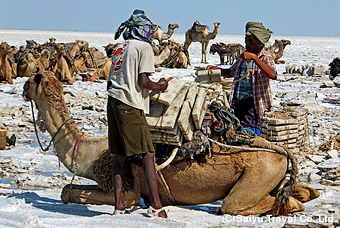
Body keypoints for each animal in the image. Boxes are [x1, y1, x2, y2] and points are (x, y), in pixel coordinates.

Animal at [22, 71, 320, 216]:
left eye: (32, 80)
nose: (24, 89)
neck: (91, 153)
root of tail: (282, 152)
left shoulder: (128, 189)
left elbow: (66, 192)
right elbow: (66, 190)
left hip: (259, 173)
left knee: (235, 205)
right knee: (297, 193)